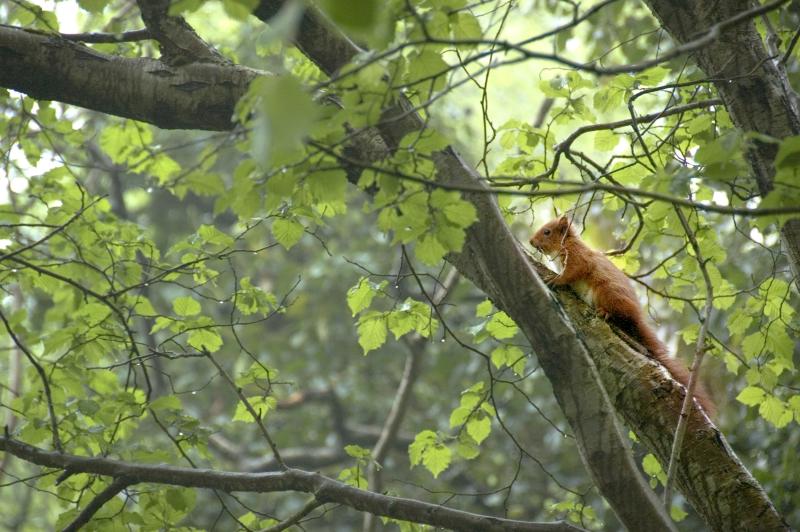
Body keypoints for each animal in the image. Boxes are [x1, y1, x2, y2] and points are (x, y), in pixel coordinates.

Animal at [532, 216, 712, 416]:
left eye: (547, 232)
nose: (531, 242)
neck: (567, 244)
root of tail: (636, 318)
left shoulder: (579, 257)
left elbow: (572, 272)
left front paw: (555, 279)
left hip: (606, 292)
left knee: (619, 315)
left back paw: (605, 312)